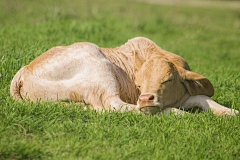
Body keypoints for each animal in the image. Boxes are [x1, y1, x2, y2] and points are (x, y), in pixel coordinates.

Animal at [10, 38, 239, 117]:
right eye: (138, 83)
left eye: (168, 80)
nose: (145, 98)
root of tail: (24, 69)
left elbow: (203, 97)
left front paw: (229, 112)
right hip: (98, 69)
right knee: (115, 106)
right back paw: (175, 113)